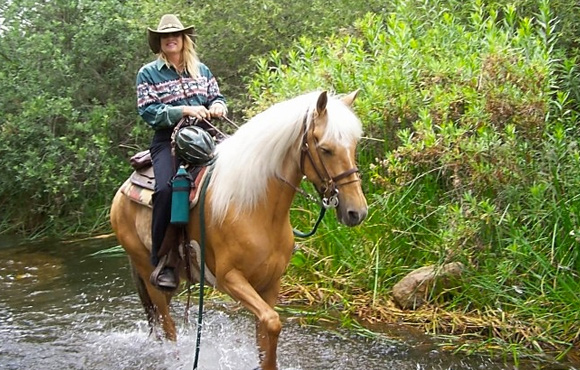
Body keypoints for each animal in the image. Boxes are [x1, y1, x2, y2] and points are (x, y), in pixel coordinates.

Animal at [111, 90, 368, 370]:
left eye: (354, 145)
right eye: (325, 149)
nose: (357, 212)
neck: (255, 210)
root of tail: (121, 193)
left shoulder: (270, 284)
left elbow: (266, 336)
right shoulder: (230, 278)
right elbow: (272, 322)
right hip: (148, 272)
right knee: (168, 326)